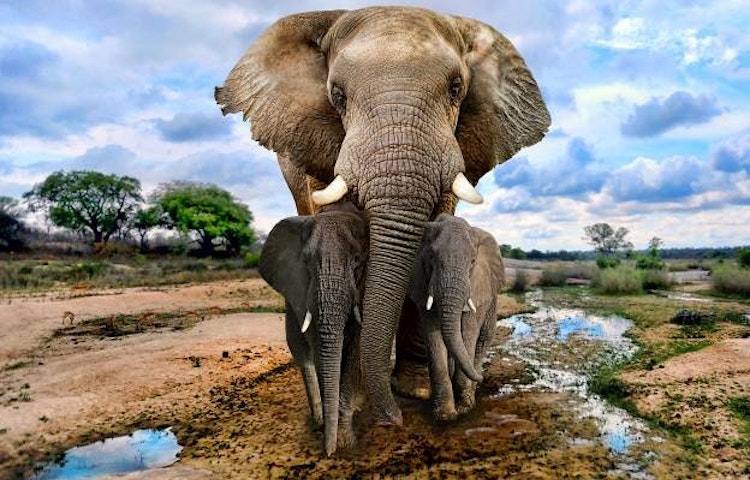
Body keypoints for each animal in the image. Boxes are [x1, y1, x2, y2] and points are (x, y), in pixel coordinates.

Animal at [259, 201, 367, 455]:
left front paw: (344, 443)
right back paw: (318, 419)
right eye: (306, 261)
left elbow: (355, 346)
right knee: (300, 352)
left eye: (357, 259)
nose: (328, 453)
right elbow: (317, 346)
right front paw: (334, 437)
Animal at [409, 214, 505, 421]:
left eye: (473, 261)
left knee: (482, 340)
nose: (483, 378)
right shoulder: (422, 282)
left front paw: (465, 407)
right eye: (431, 257)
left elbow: (468, 332)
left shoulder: (477, 286)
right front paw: (445, 415)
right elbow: (434, 336)